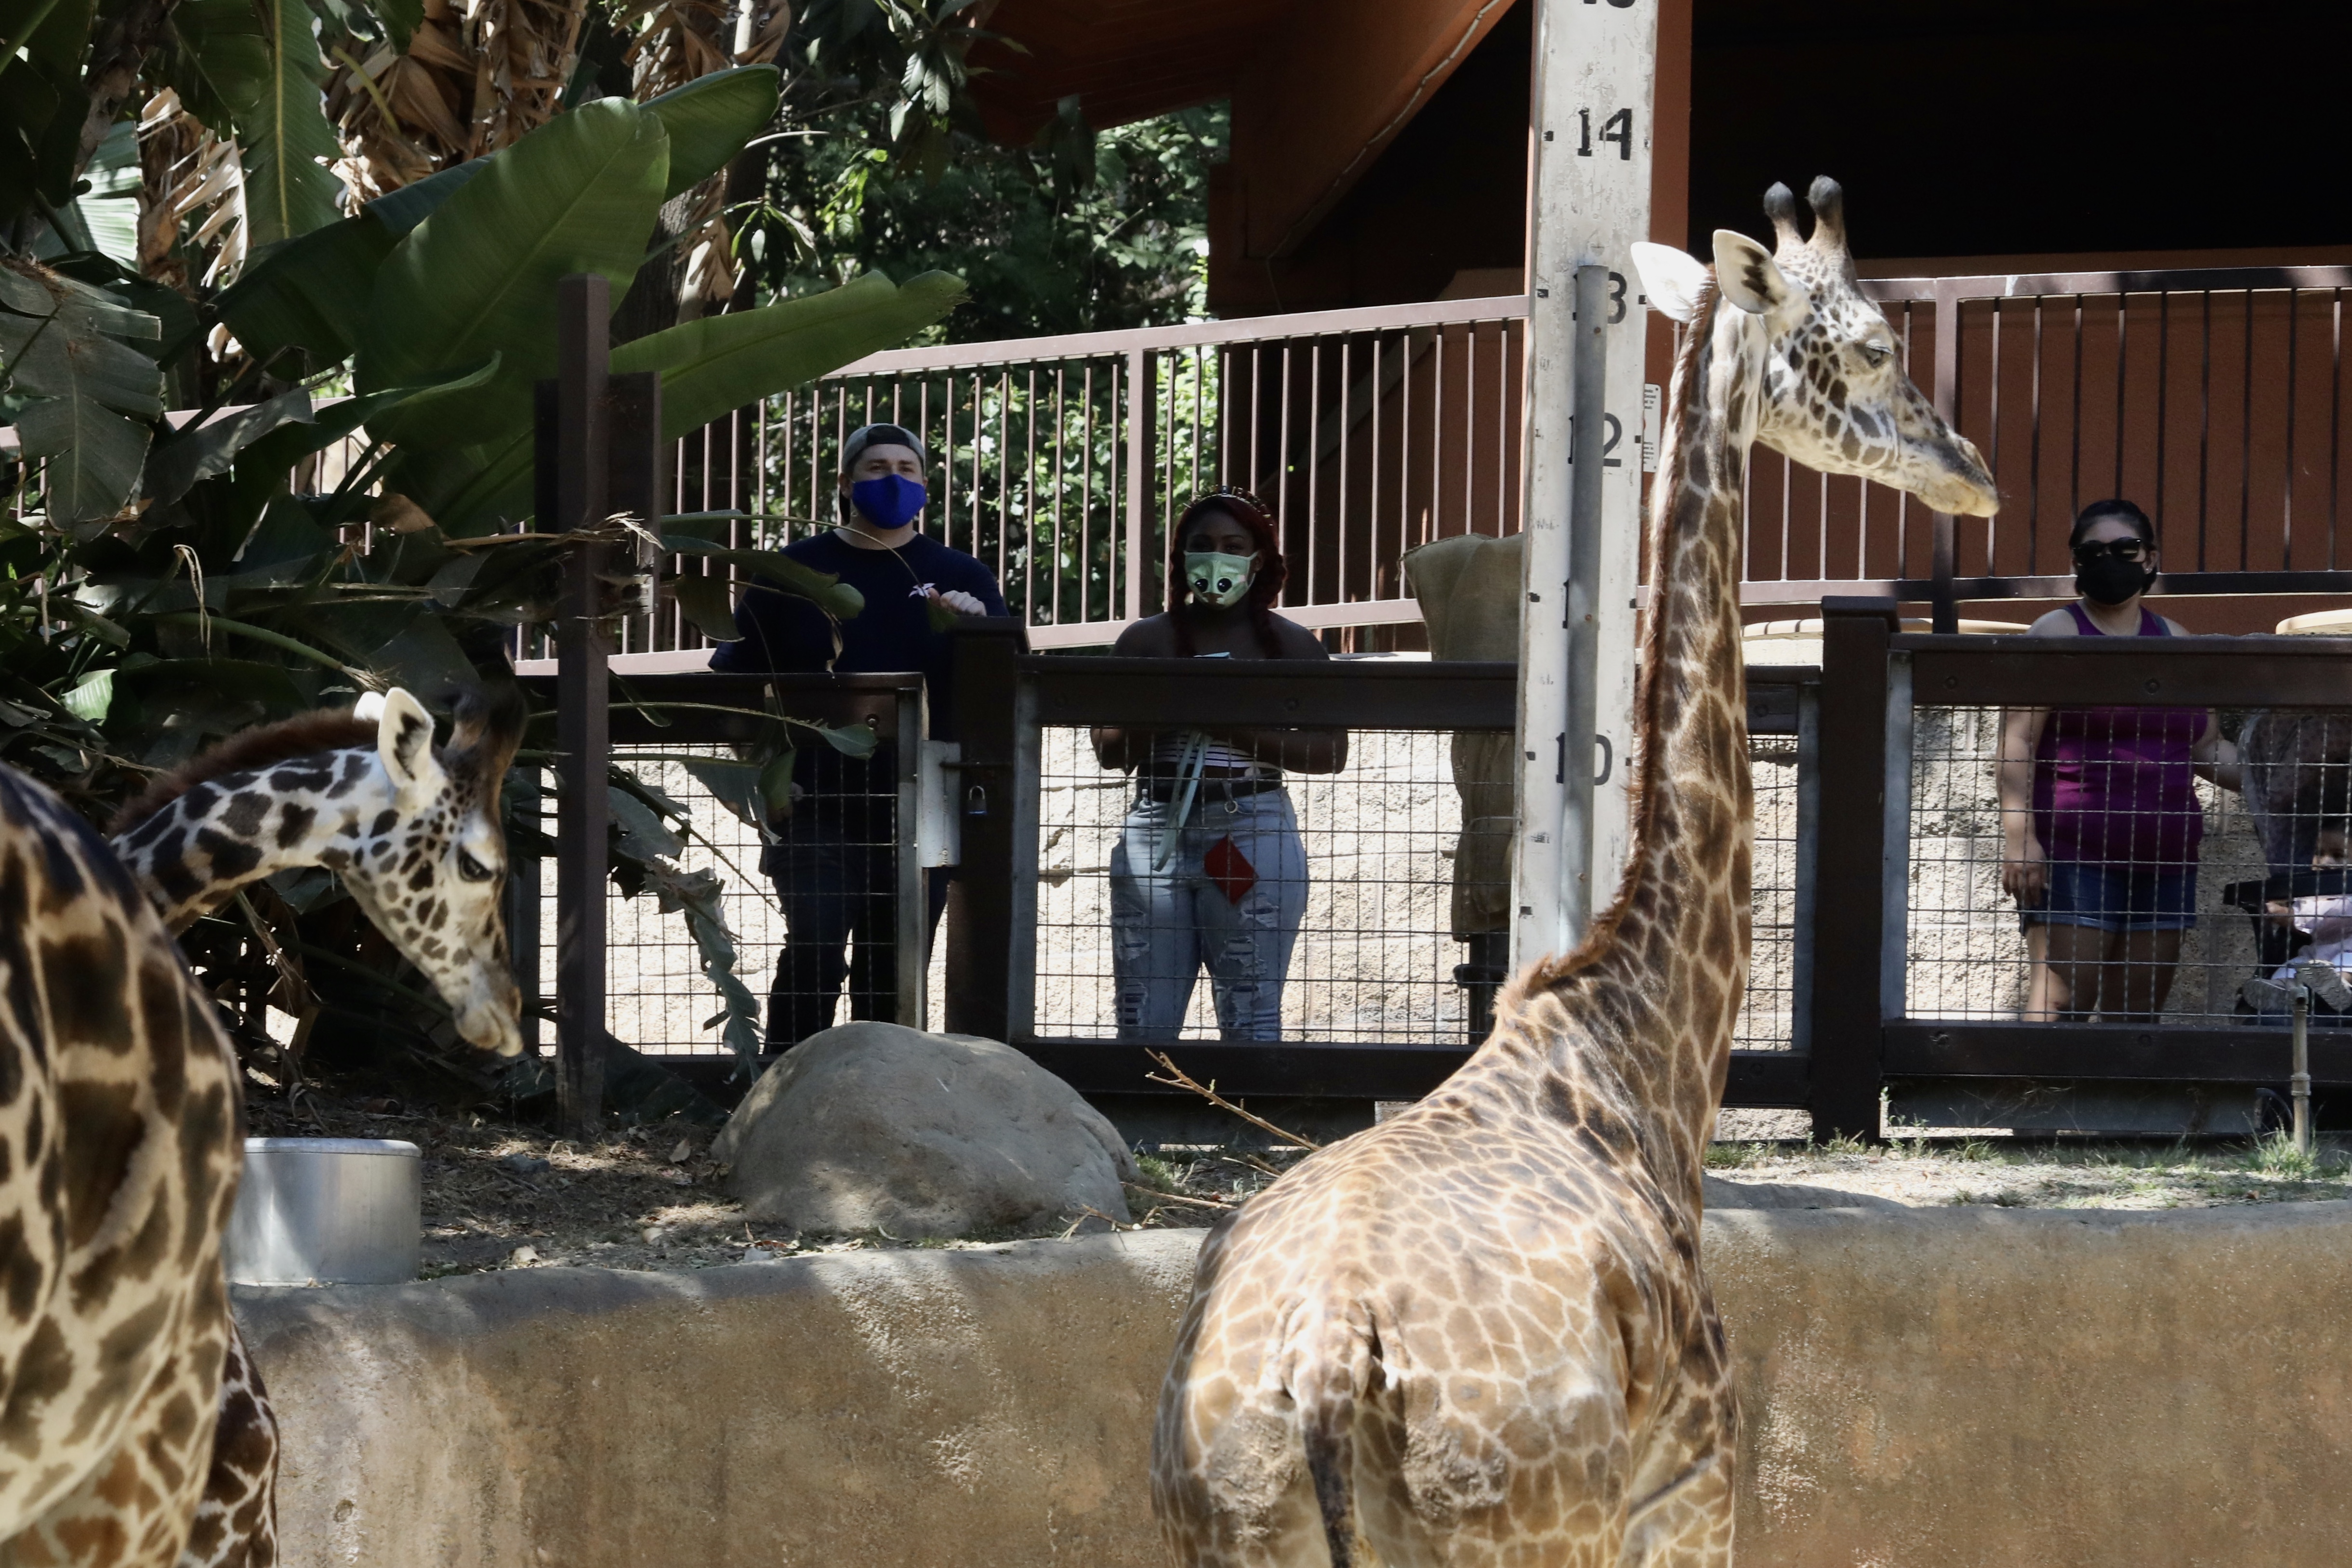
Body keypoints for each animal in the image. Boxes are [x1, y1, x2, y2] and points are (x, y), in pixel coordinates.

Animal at [1148, 175, 1994, 1568]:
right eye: (1875, 343)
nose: (1970, 473)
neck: (1632, 1038)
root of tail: (1322, 1366)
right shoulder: (1694, 1491)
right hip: (1538, 1533)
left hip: (1214, 1525)